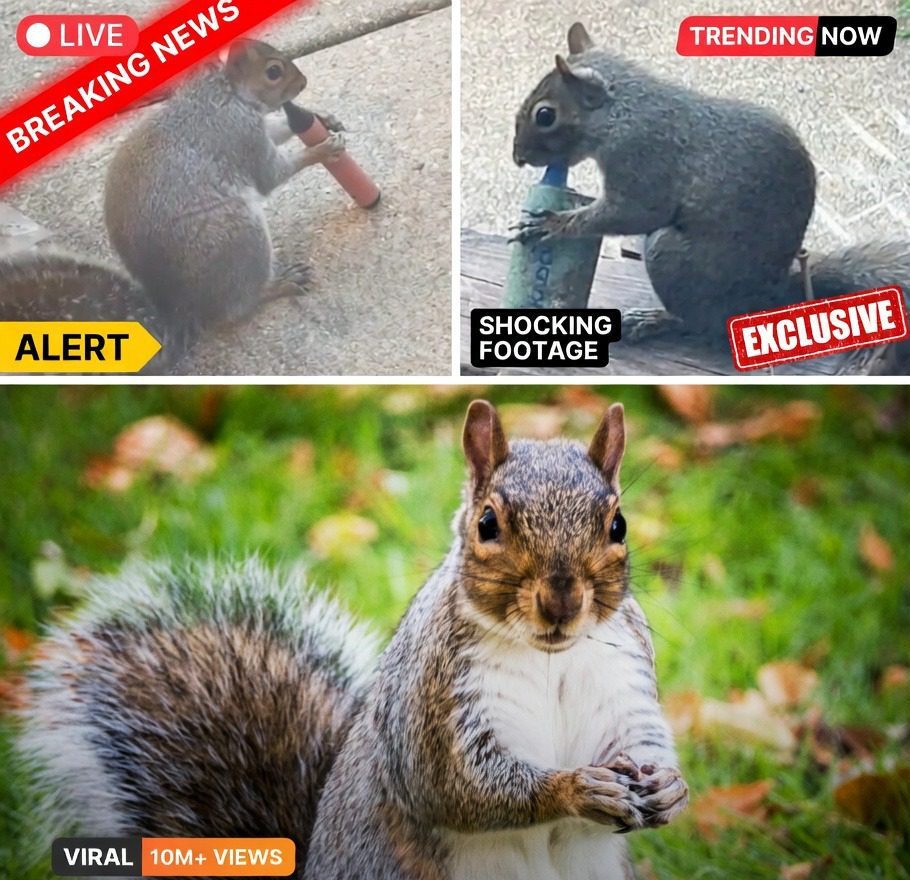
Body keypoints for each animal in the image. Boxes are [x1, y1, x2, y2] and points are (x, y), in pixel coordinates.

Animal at [0, 39, 345, 373]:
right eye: (273, 72)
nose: (303, 83)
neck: (223, 92)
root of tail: (179, 309)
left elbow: (280, 129)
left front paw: (322, 119)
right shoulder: (240, 135)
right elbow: (271, 174)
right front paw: (322, 150)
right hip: (237, 235)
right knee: (236, 308)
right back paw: (277, 284)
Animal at [19, 401, 687, 880]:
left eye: (618, 524)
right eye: (487, 524)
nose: (562, 602)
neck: (551, 659)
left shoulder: (623, 681)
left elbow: (642, 740)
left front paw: (671, 788)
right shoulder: (433, 708)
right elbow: (458, 787)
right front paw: (577, 787)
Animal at [512, 22, 910, 372]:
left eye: (545, 115)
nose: (518, 157)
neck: (623, 110)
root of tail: (769, 298)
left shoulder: (642, 158)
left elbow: (636, 213)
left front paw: (553, 224)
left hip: (672, 258)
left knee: (699, 323)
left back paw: (656, 319)